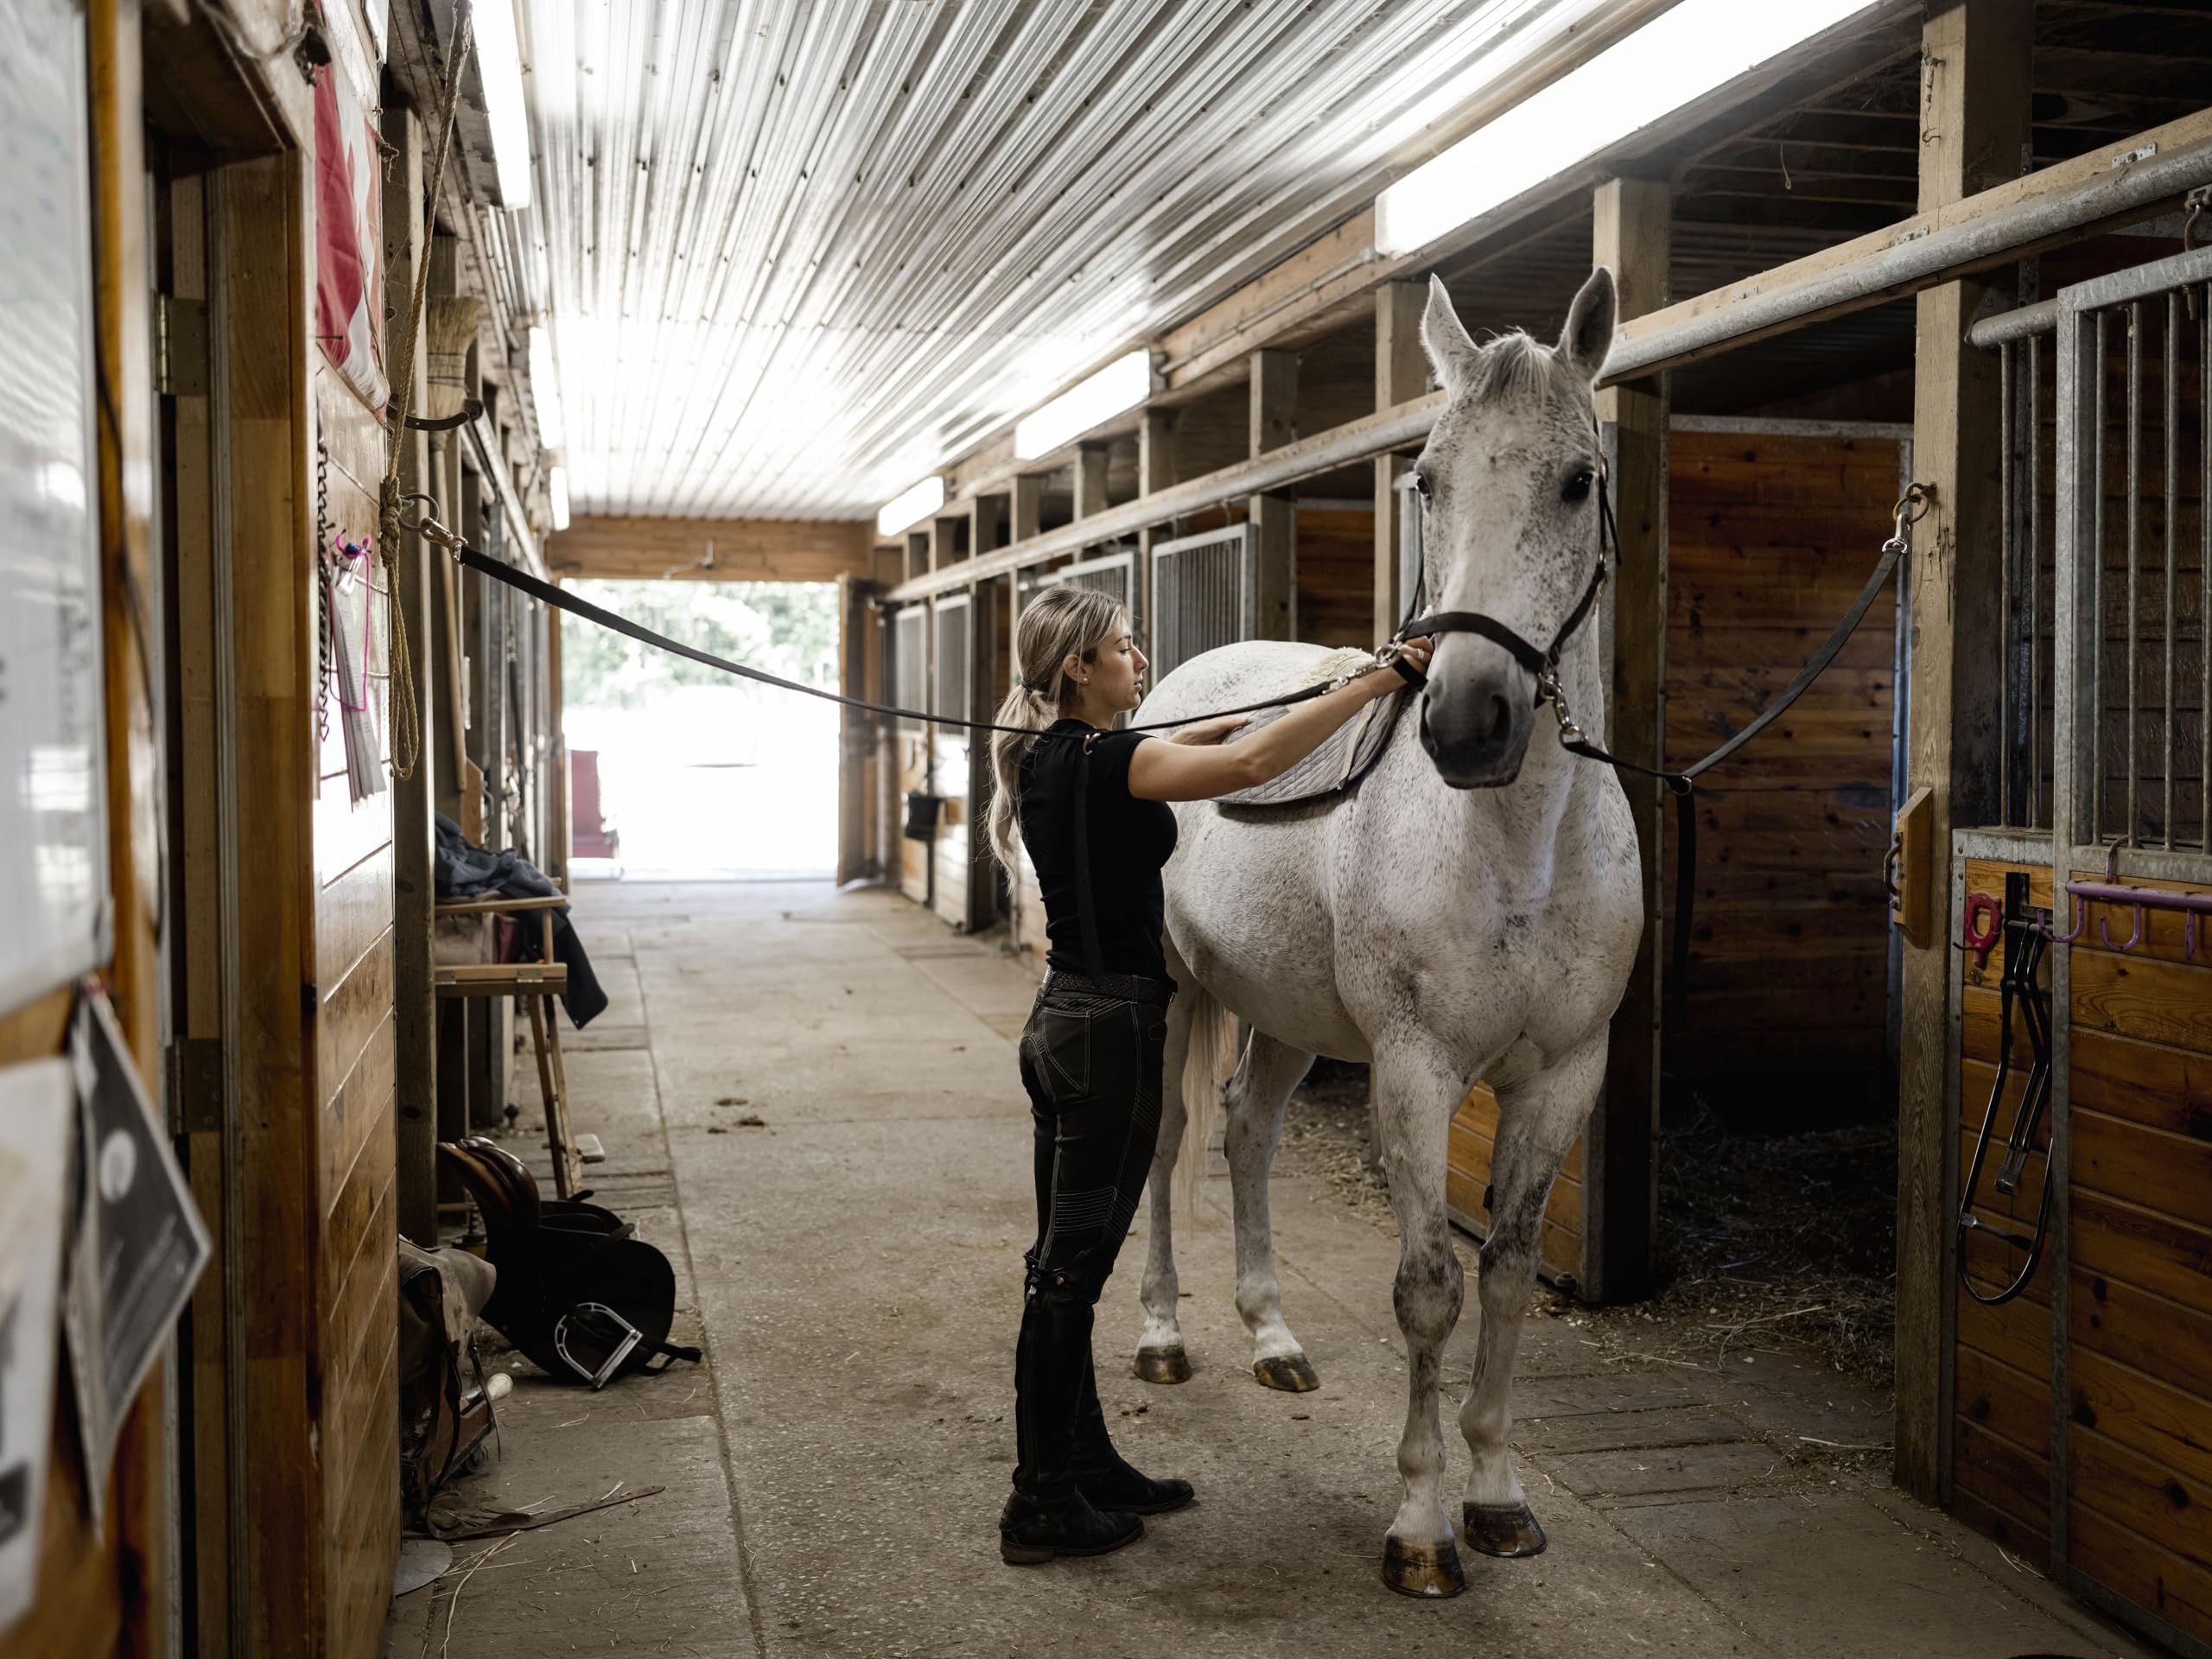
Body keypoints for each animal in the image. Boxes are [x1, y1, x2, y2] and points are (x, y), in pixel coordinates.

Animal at [1128, 267, 1644, 1598]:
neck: (1517, 846)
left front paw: (1498, 1497)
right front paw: (1419, 1525)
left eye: (1576, 480)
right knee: (1165, 1143)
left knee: (1247, 1132)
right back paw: (1161, 1332)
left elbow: (1506, 1274)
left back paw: (1271, 1337)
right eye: (1426, 478)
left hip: (1283, 1014)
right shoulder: (1415, 1071)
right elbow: (1427, 1289)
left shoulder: (1565, 1075)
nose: (1467, 719)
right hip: (1172, 995)